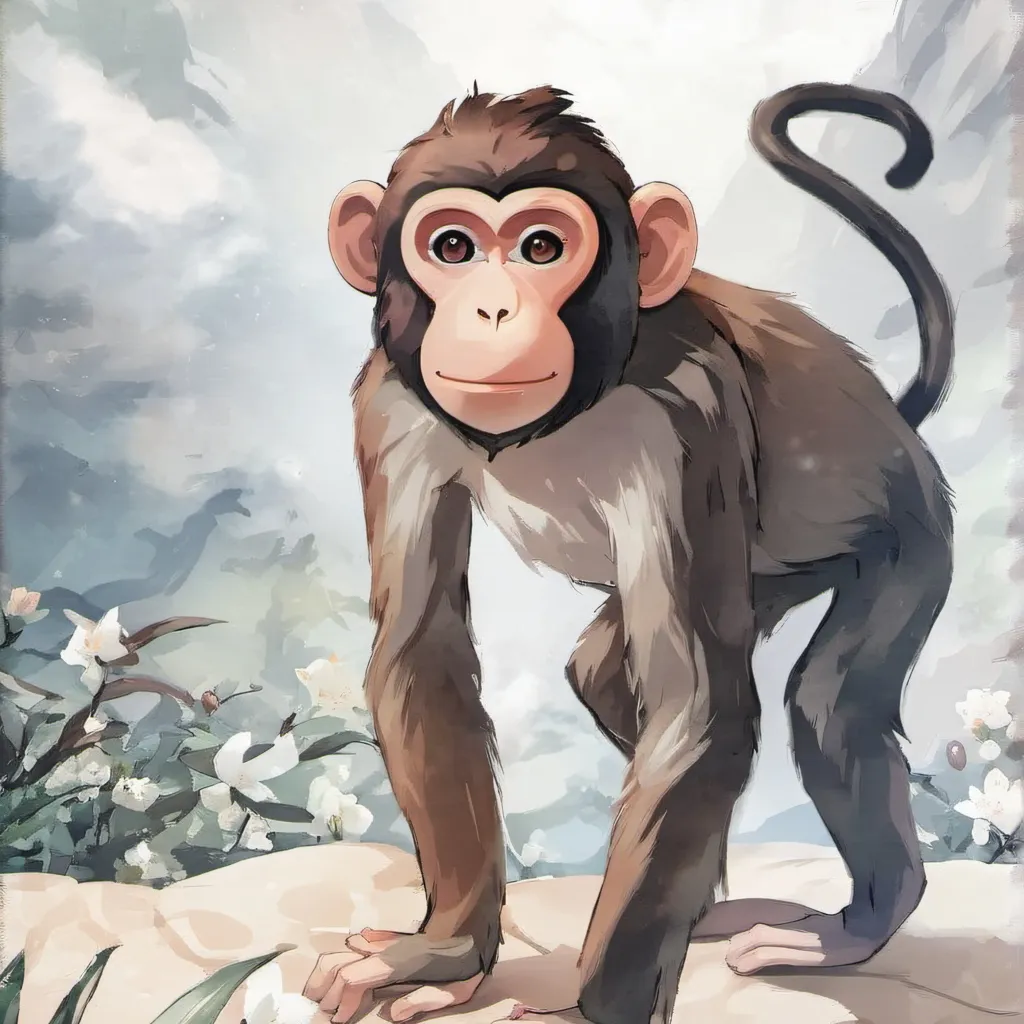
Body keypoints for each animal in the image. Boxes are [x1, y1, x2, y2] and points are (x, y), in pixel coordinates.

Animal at [303, 82, 955, 1024]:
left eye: (541, 247)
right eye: (452, 246)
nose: (493, 309)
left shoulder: (686, 414)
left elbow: (697, 705)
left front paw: (588, 1011)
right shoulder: (392, 404)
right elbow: (423, 654)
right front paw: (444, 952)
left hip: (911, 536)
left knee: (829, 707)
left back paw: (862, 923)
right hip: (776, 575)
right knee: (608, 672)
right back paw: (713, 904)